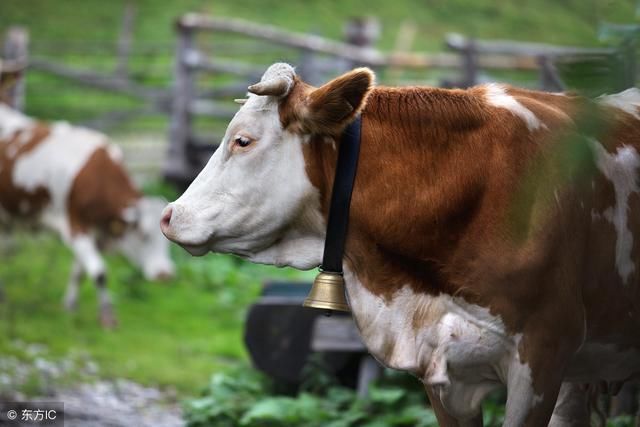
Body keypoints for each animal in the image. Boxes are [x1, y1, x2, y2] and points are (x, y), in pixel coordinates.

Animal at [0, 65, 175, 330]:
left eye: (167, 240)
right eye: (143, 236)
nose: (164, 275)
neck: (96, 175)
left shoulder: (96, 232)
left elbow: (80, 271)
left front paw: (70, 305)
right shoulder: (74, 226)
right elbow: (100, 272)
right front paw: (107, 316)